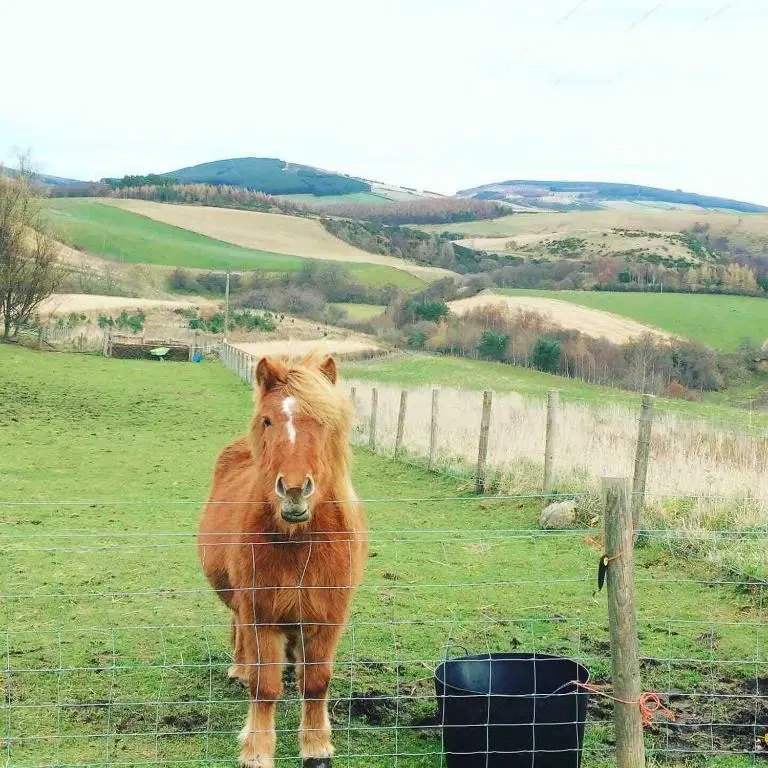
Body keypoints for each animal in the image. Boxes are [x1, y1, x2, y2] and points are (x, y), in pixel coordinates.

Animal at [198, 355, 367, 768]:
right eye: (268, 420)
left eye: (323, 421)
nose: (293, 490)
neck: (298, 542)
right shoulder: (261, 613)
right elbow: (264, 686)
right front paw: (257, 749)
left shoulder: (327, 617)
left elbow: (317, 682)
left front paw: (317, 746)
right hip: (242, 604)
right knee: (240, 630)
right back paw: (240, 669)